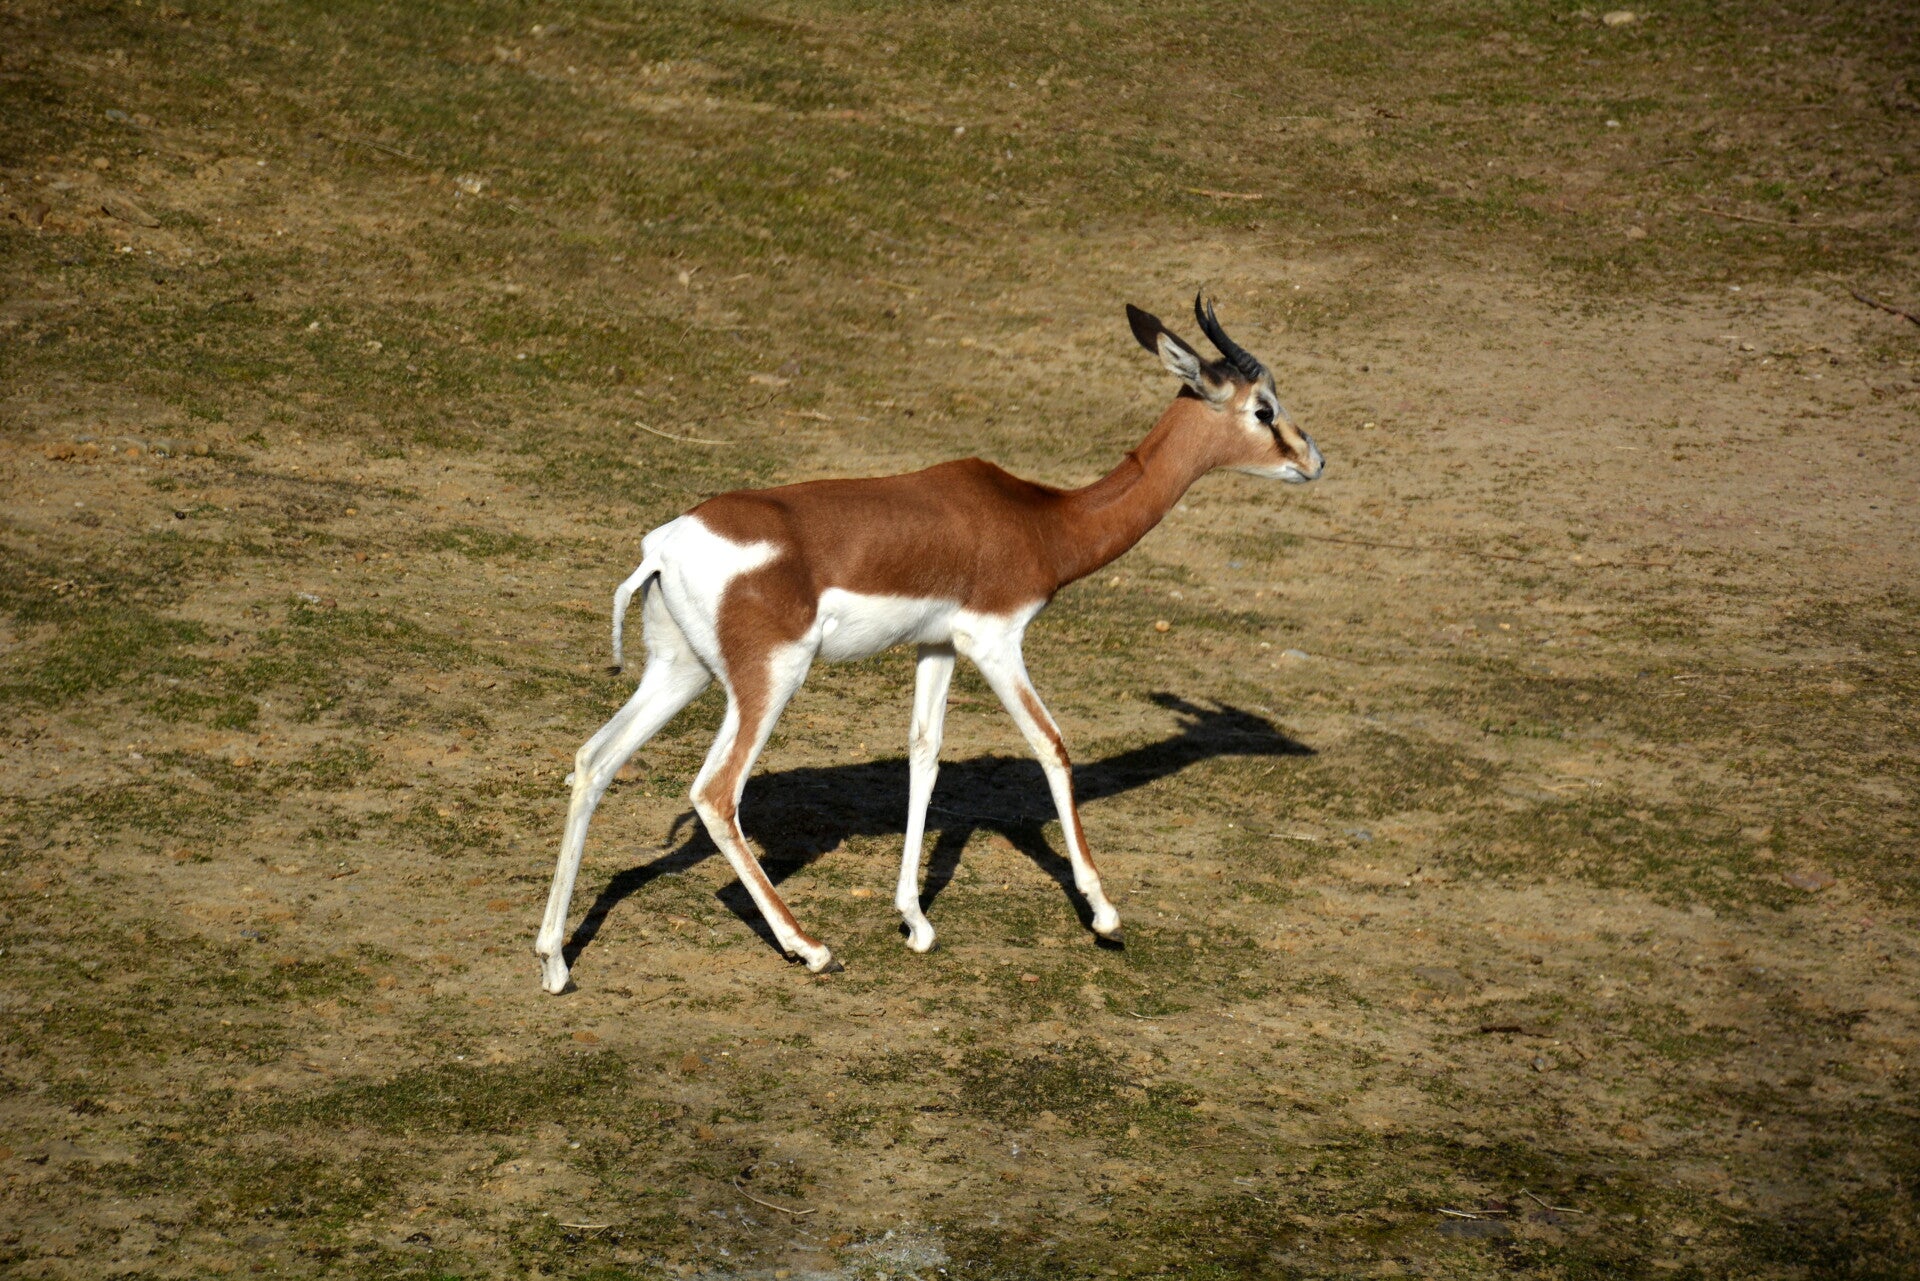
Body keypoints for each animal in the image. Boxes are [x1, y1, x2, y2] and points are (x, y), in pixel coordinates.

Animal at [534, 294, 1323, 993]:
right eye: (1264, 408)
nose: (1314, 461)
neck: (1040, 520)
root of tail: (665, 545)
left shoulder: (937, 647)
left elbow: (924, 756)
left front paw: (915, 921)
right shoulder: (994, 639)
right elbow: (1052, 745)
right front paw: (1103, 913)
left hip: (682, 671)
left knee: (594, 761)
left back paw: (554, 962)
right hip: (771, 677)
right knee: (714, 792)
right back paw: (812, 949)